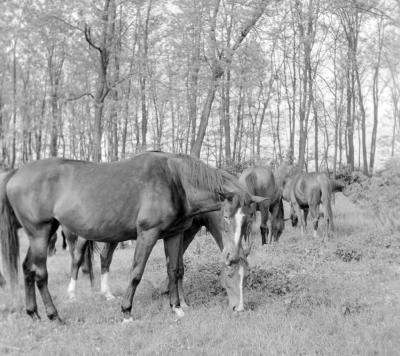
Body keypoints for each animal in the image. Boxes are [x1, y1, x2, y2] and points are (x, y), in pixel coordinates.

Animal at [0, 152, 266, 322]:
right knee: (41, 273)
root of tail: (16, 173)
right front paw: (126, 311)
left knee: (27, 269)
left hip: (41, 233)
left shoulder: (174, 234)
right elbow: (137, 272)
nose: (239, 308)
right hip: (40, 233)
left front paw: (176, 308)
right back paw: (54, 315)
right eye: (227, 218)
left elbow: (174, 269)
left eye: (248, 219)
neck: (176, 181)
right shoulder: (147, 234)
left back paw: (33, 314)